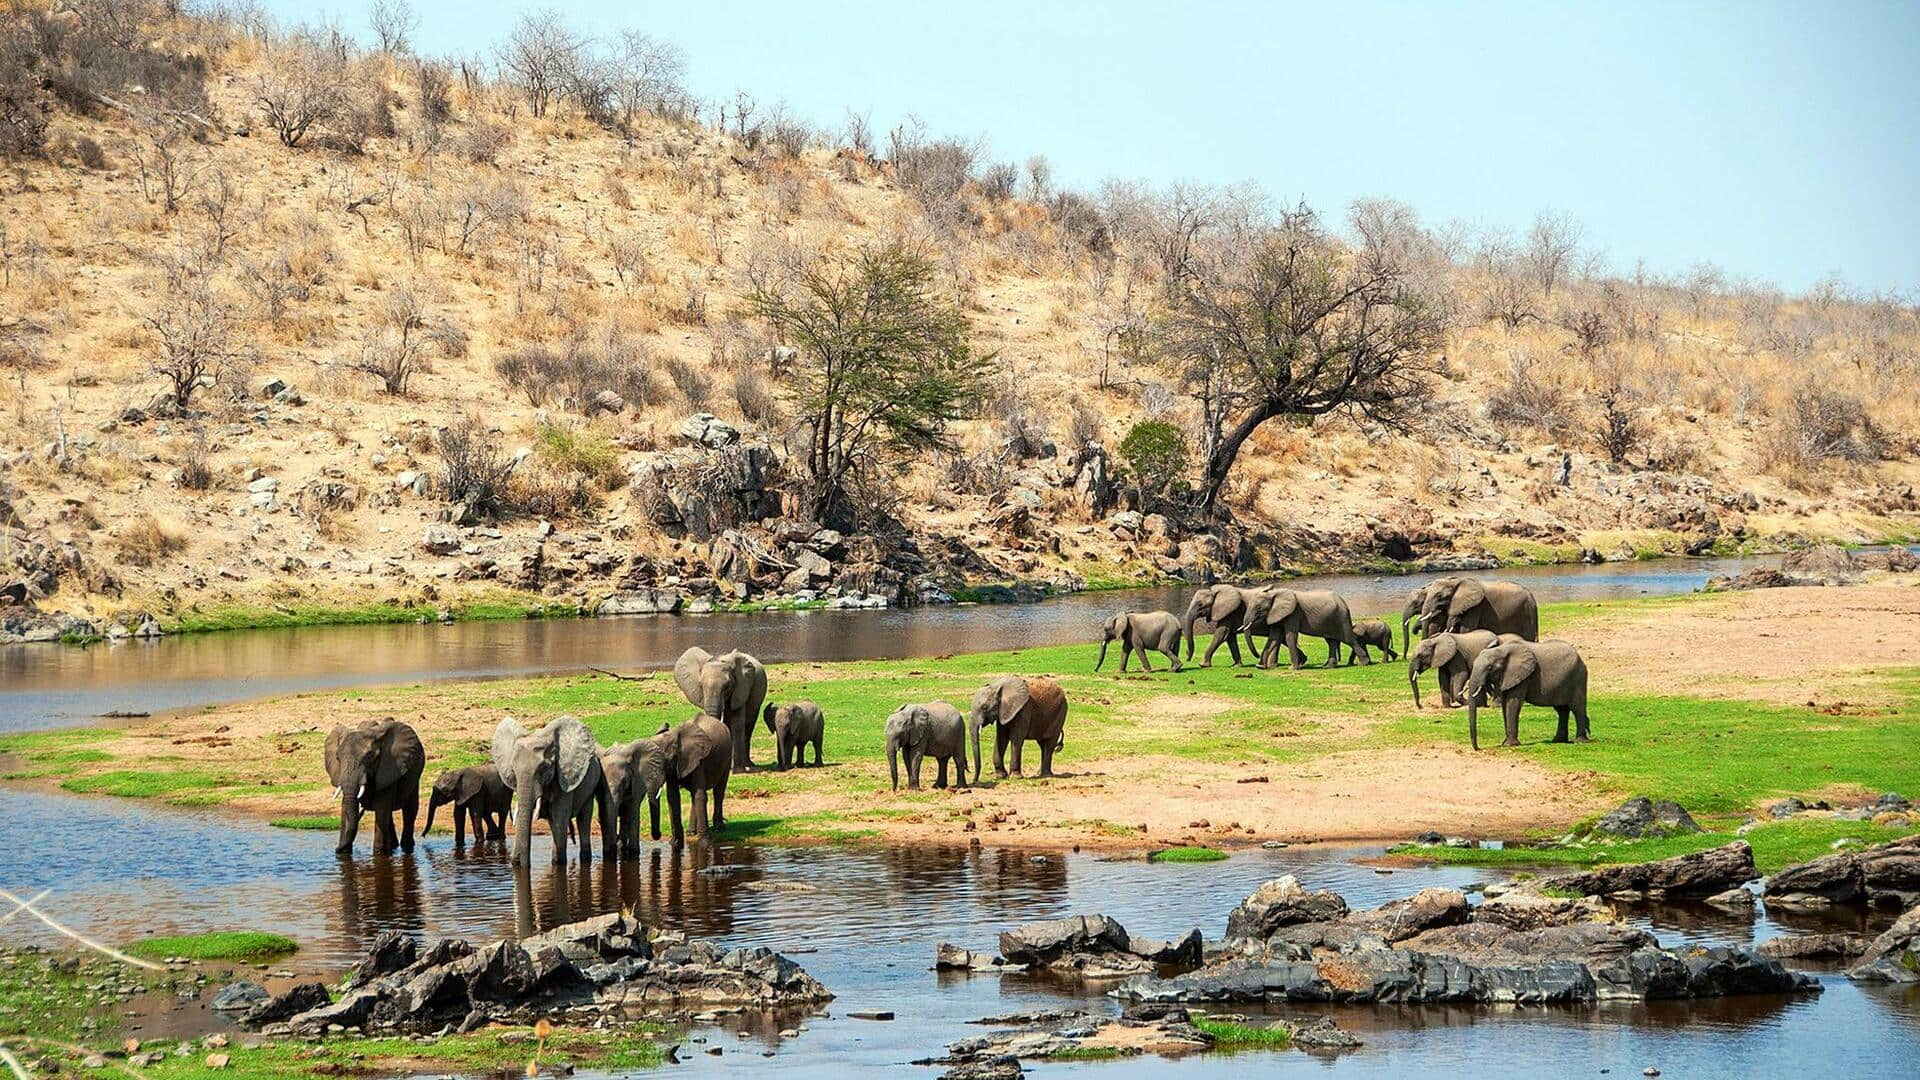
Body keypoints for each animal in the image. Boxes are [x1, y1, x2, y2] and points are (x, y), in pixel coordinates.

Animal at [322, 718, 424, 853]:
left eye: (370, 757)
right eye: (337, 758)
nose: (336, 849)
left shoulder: (389, 768)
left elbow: (381, 810)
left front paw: (379, 853)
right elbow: (345, 809)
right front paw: (345, 853)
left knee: (409, 810)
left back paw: (406, 847)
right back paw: (393, 846)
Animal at [491, 714, 610, 864]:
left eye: (543, 768)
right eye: (513, 769)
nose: (516, 860)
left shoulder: (564, 777)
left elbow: (560, 816)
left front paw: (559, 863)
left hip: (591, 783)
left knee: (583, 818)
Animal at [1459, 638, 1597, 749]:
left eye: (1490, 668)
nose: (1477, 748)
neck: (1502, 650)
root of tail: (1580, 657)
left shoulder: (1523, 676)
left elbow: (1513, 703)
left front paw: (1510, 745)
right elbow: (1505, 705)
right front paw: (1505, 743)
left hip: (1578, 677)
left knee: (1577, 708)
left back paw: (1579, 741)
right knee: (1562, 710)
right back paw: (1558, 741)